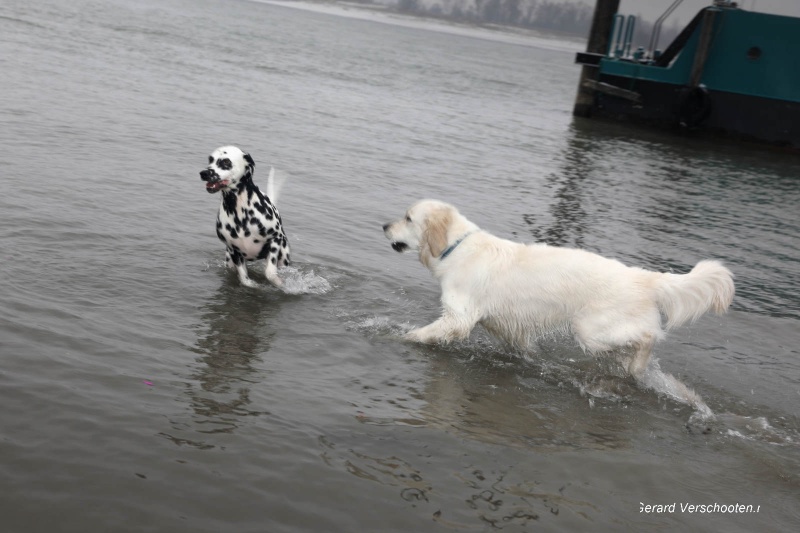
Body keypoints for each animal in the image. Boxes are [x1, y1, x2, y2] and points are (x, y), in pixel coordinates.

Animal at [200, 144, 290, 286]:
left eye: (226, 162)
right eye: (210, 160)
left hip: (283, 257)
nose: (204, 173)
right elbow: (244, 279)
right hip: (229, 260)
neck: (239, 211)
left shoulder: (274, 240)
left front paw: (277, 282)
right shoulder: (234, 252)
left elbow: (270, 273)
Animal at [384, 200, 736, 378]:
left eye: (408, 217)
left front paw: (399, 337)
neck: (455, 247)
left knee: (648, 337)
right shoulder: (507, 325)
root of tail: (645, 277)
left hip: (591, 330)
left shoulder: (459, 317)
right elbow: (522, 347)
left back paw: (636, 367)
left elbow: (421, 334)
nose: (384, 226)